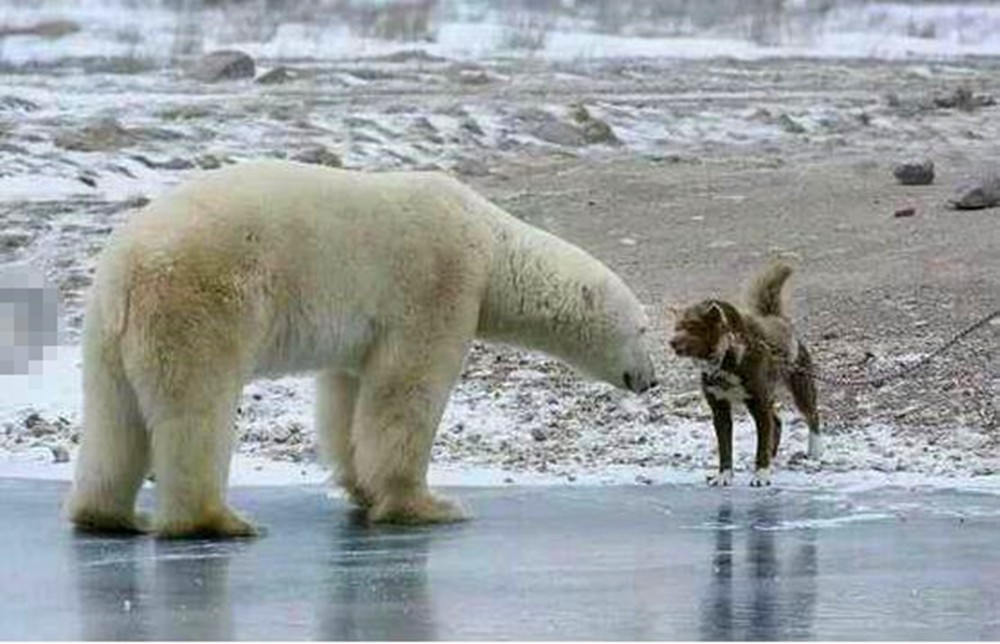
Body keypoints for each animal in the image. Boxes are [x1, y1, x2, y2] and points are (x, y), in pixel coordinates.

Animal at [62, 161, 656, 540]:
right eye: (645, 329)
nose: (650, 379)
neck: (490, 245)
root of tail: (129, 269)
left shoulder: (363, 329)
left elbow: (347, 395)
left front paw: (361, 489)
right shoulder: (437, 283)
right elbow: (406, 390)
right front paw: (427, 505)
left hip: (108, 332)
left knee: (113, 419)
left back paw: (110, 515)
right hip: (199, 306)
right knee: (196, 414)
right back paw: (218, 521)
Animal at [672, 262, 820, 488]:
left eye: (692, 327)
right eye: (676, 327)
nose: (671, 342)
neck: (727, 356)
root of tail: (778, 319)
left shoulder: (759, 404)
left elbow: (761, 444)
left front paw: (761, 475)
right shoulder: (720, 410)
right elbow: (725, 449)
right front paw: (724, 476)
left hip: (800, 388)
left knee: (812, 416)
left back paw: (814, 452)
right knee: (777, 422)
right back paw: (773, 456)